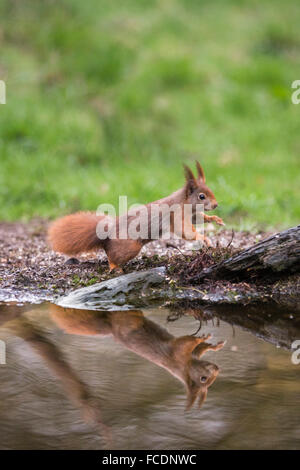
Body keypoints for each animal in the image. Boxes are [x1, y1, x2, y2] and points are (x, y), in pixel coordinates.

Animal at [48, 162, 224, 270]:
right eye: (202, 196)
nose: (216, 205)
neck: (183, 202)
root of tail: (107, 231)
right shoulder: (177, 215)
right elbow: (185, 232)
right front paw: (203, 238)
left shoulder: (191, 214)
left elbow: (199, 218)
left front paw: (215, 220)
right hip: (130, 247)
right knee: (112, 256)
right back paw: (115, 267)